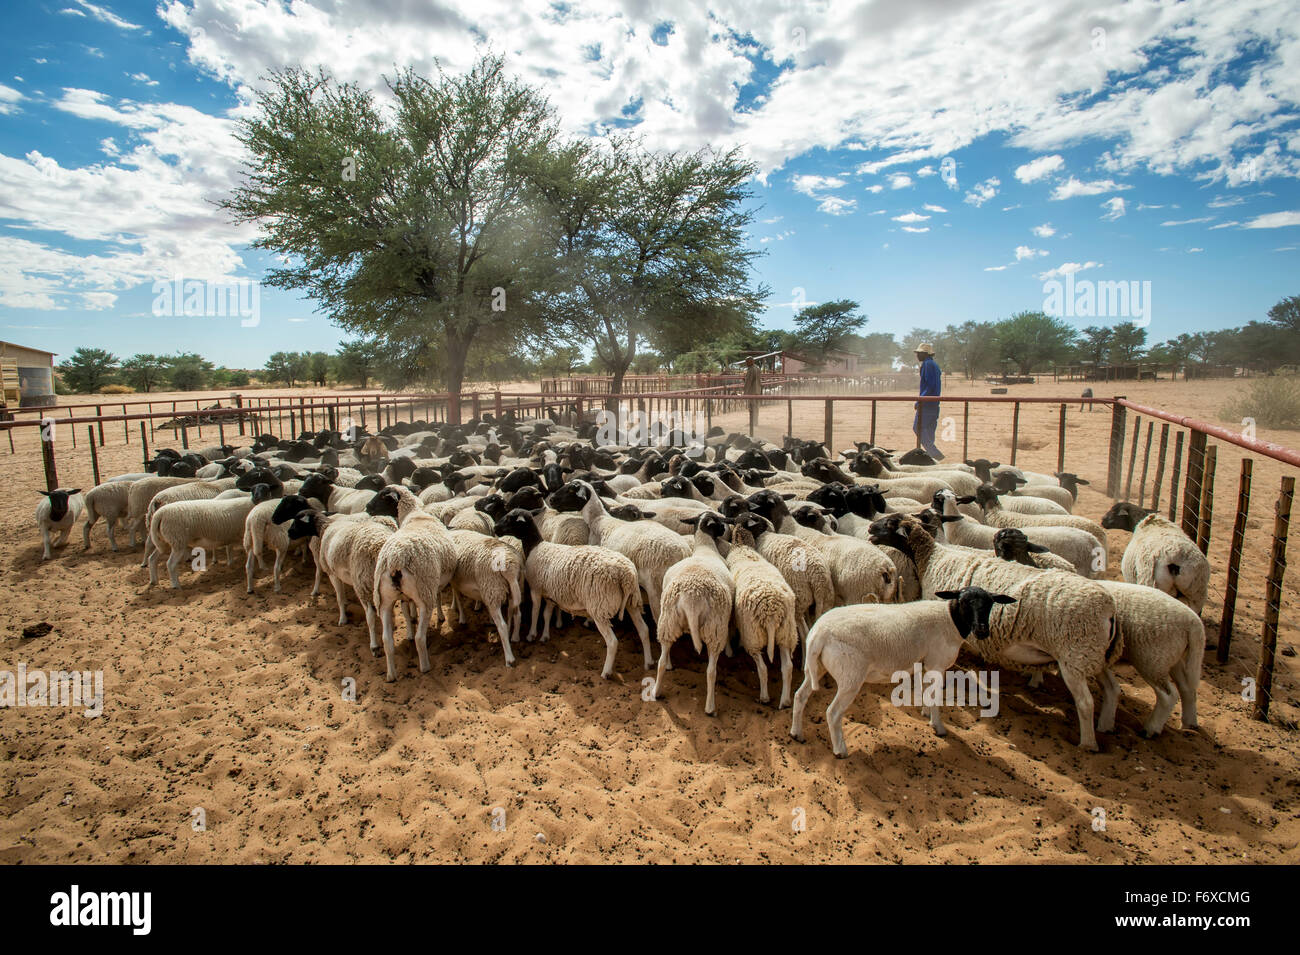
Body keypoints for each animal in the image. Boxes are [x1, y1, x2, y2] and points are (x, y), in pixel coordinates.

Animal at [491, 508, 651, 680]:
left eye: (510, 518)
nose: (495, 528)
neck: (535, 546)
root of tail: (626, 575)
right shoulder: (551, 594)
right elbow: (547, 614)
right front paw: (545, 636)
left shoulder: (536, 587)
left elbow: (535, 611)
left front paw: (531, 635)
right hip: (632, 602)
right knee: (644, 630)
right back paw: (648, 663)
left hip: (599, 606)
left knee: (612, 642)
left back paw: (605, 672)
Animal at [650, 511, 736, 714]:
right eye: (718, 521)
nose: (724, 528)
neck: (705, 547)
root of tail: (692, 600)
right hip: (714, 628)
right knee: (711, 671)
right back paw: (710, 707)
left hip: (668, 622)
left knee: (662, 662)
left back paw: (656, 692)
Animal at [725, 522, 799, 708]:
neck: (742, 547)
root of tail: (771, 613)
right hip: (786, 633)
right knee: (787, 667)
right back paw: (785, 701)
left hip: (753, 636)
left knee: (763, 668)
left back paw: (764, 697)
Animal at [790, 586, 1016, 756]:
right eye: (964, 601)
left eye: (990, 603)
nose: (982, 630)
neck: (950, 620)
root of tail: (819, 633)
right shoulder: (937, 663)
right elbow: (936, 697)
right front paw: (939, 727)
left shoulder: (926, 664)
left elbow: (927, 692)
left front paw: (926, 713)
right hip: (850, 676)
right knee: (833, 712)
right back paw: (840, 750)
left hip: (815, 667)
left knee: (800, 696)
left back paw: (796, 734)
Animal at [868, 514, 1119, 750]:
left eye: (890, 522)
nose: (870, 528)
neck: (931, 557)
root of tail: (1110, 609)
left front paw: (928, 709)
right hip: (1092, 653)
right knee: (1112, 688)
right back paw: (1106, 725)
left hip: (1073, 655)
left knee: (1085, 703)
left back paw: (1088, 744)